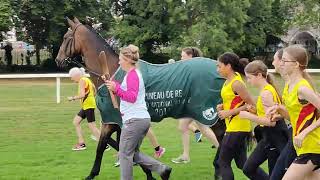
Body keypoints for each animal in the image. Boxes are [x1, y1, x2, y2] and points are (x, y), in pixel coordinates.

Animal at [55, 17, 155, 180]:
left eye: (65, 38)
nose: (58, 60)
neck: (110, 71)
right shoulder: (113, 121)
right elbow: (116, 144)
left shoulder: (115, 121)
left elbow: (105, 146)